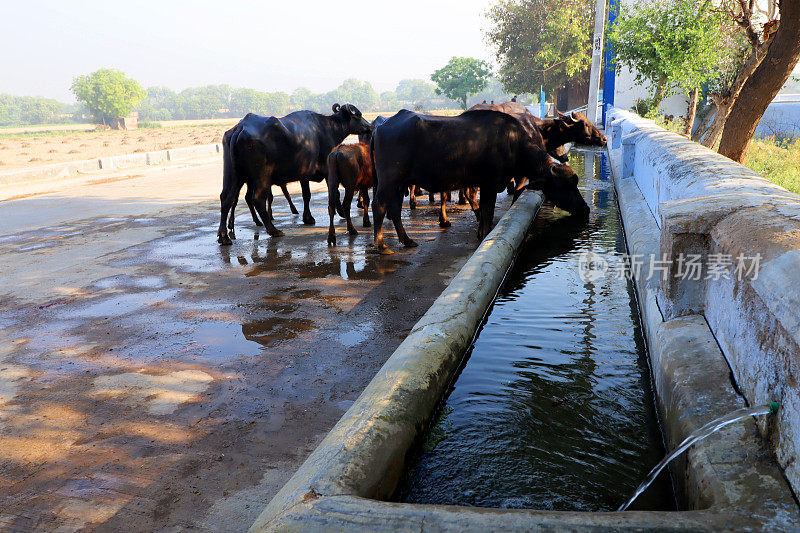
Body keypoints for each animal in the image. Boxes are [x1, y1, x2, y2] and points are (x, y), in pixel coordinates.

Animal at [217, 103, 370, 244]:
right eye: (358, 115)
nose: (369, 126)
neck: (328, 128)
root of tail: (241, 127)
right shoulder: (328, 172)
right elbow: (335, 194)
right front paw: (341, 212)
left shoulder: (304, 174)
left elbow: (306, 195)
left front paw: (308, 217)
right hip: (261, 176)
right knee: (257, 199)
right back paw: (273, 230)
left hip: (233, 174)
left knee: (226, 198)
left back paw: (224, 236)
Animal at [372, 109, 592, 252]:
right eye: (566, 185)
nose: (585, 208)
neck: (513, 143)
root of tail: (381, 127)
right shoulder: (489, 183)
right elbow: (487, 210)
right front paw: (485, 232)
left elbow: (485, 209)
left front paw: (480, 231)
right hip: (388, 180)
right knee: (379, 206)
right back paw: (382, 245)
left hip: (398, 183)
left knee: (395, 209)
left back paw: (407, 240)